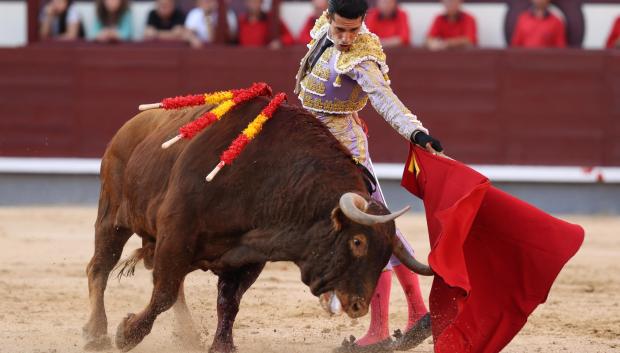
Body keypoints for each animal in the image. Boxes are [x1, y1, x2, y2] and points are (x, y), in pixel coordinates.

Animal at [81, 95, 432, 350]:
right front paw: (126, 334)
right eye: (357, 242)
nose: (358, 305)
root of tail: (132, 124)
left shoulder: (248, 256)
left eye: (385, 254)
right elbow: (164, 293)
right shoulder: (176, 236)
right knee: (100, 267)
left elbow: (228, 303)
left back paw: (188, 335)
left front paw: (222, 347)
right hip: (112, 216)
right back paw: (97, 334)